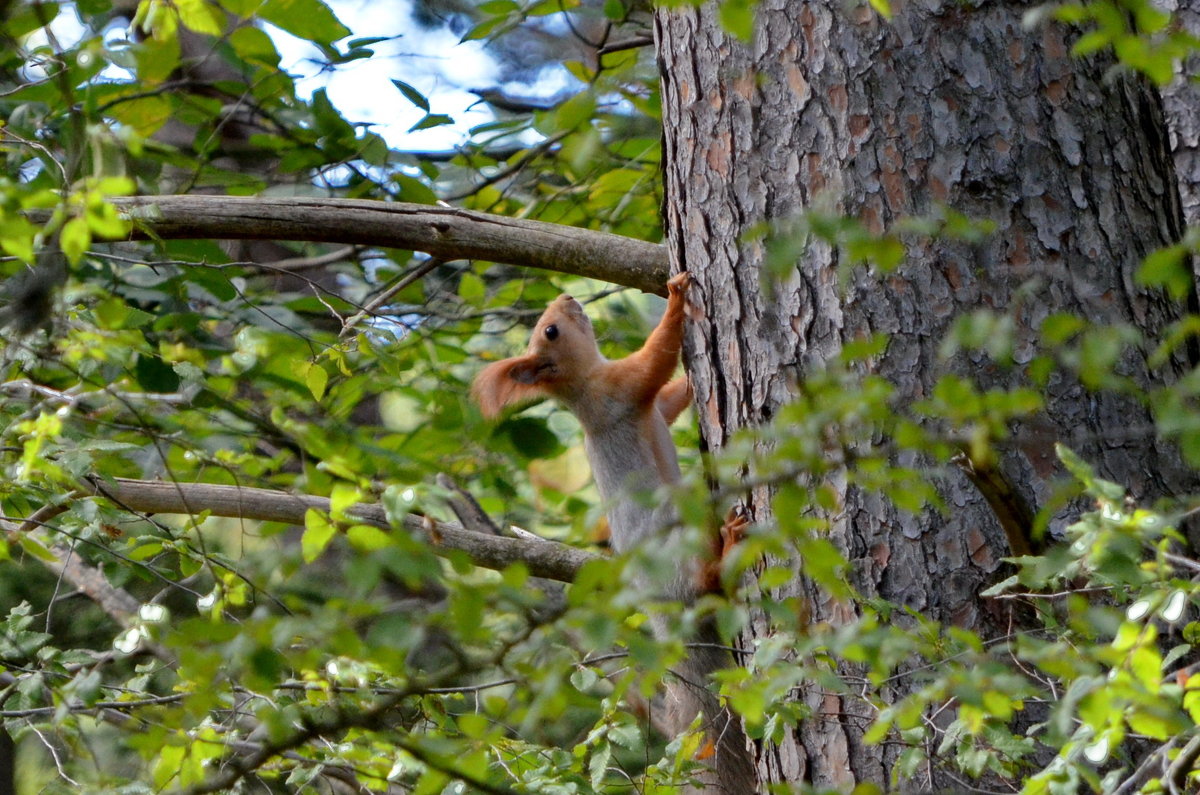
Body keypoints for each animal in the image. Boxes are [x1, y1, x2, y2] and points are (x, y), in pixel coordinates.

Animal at [472, 272, 753, 792]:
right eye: (549, 332)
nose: (567, 297)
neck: (584, 384)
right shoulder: (619, 390)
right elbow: (654, 360)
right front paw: (676, 299)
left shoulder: (642, 401)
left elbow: (669, 398)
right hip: (680, 541)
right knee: (707, 581)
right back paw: (729, 544)